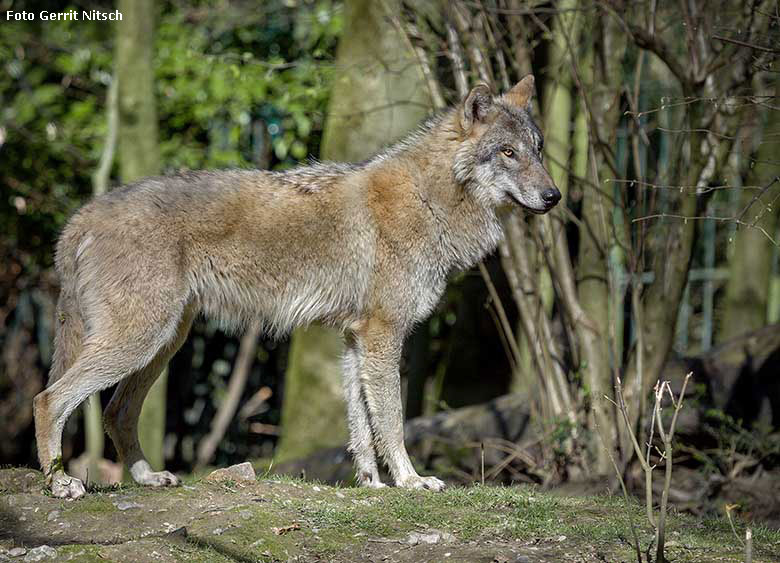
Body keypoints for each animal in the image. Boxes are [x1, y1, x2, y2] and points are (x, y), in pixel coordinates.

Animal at [35, 76, 560, 498]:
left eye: (537, 149)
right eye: (508, 153)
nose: (554, 196)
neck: (429, 198)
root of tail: (82, 215)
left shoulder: (354, 340)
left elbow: (361, 427)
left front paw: (371, 484)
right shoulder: (382, 336)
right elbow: (392, 422)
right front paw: (411, 481)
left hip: (162, 345)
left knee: (116, 413)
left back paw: (146, 478)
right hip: (140, 342)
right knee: (49, 400)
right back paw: (60, 484)